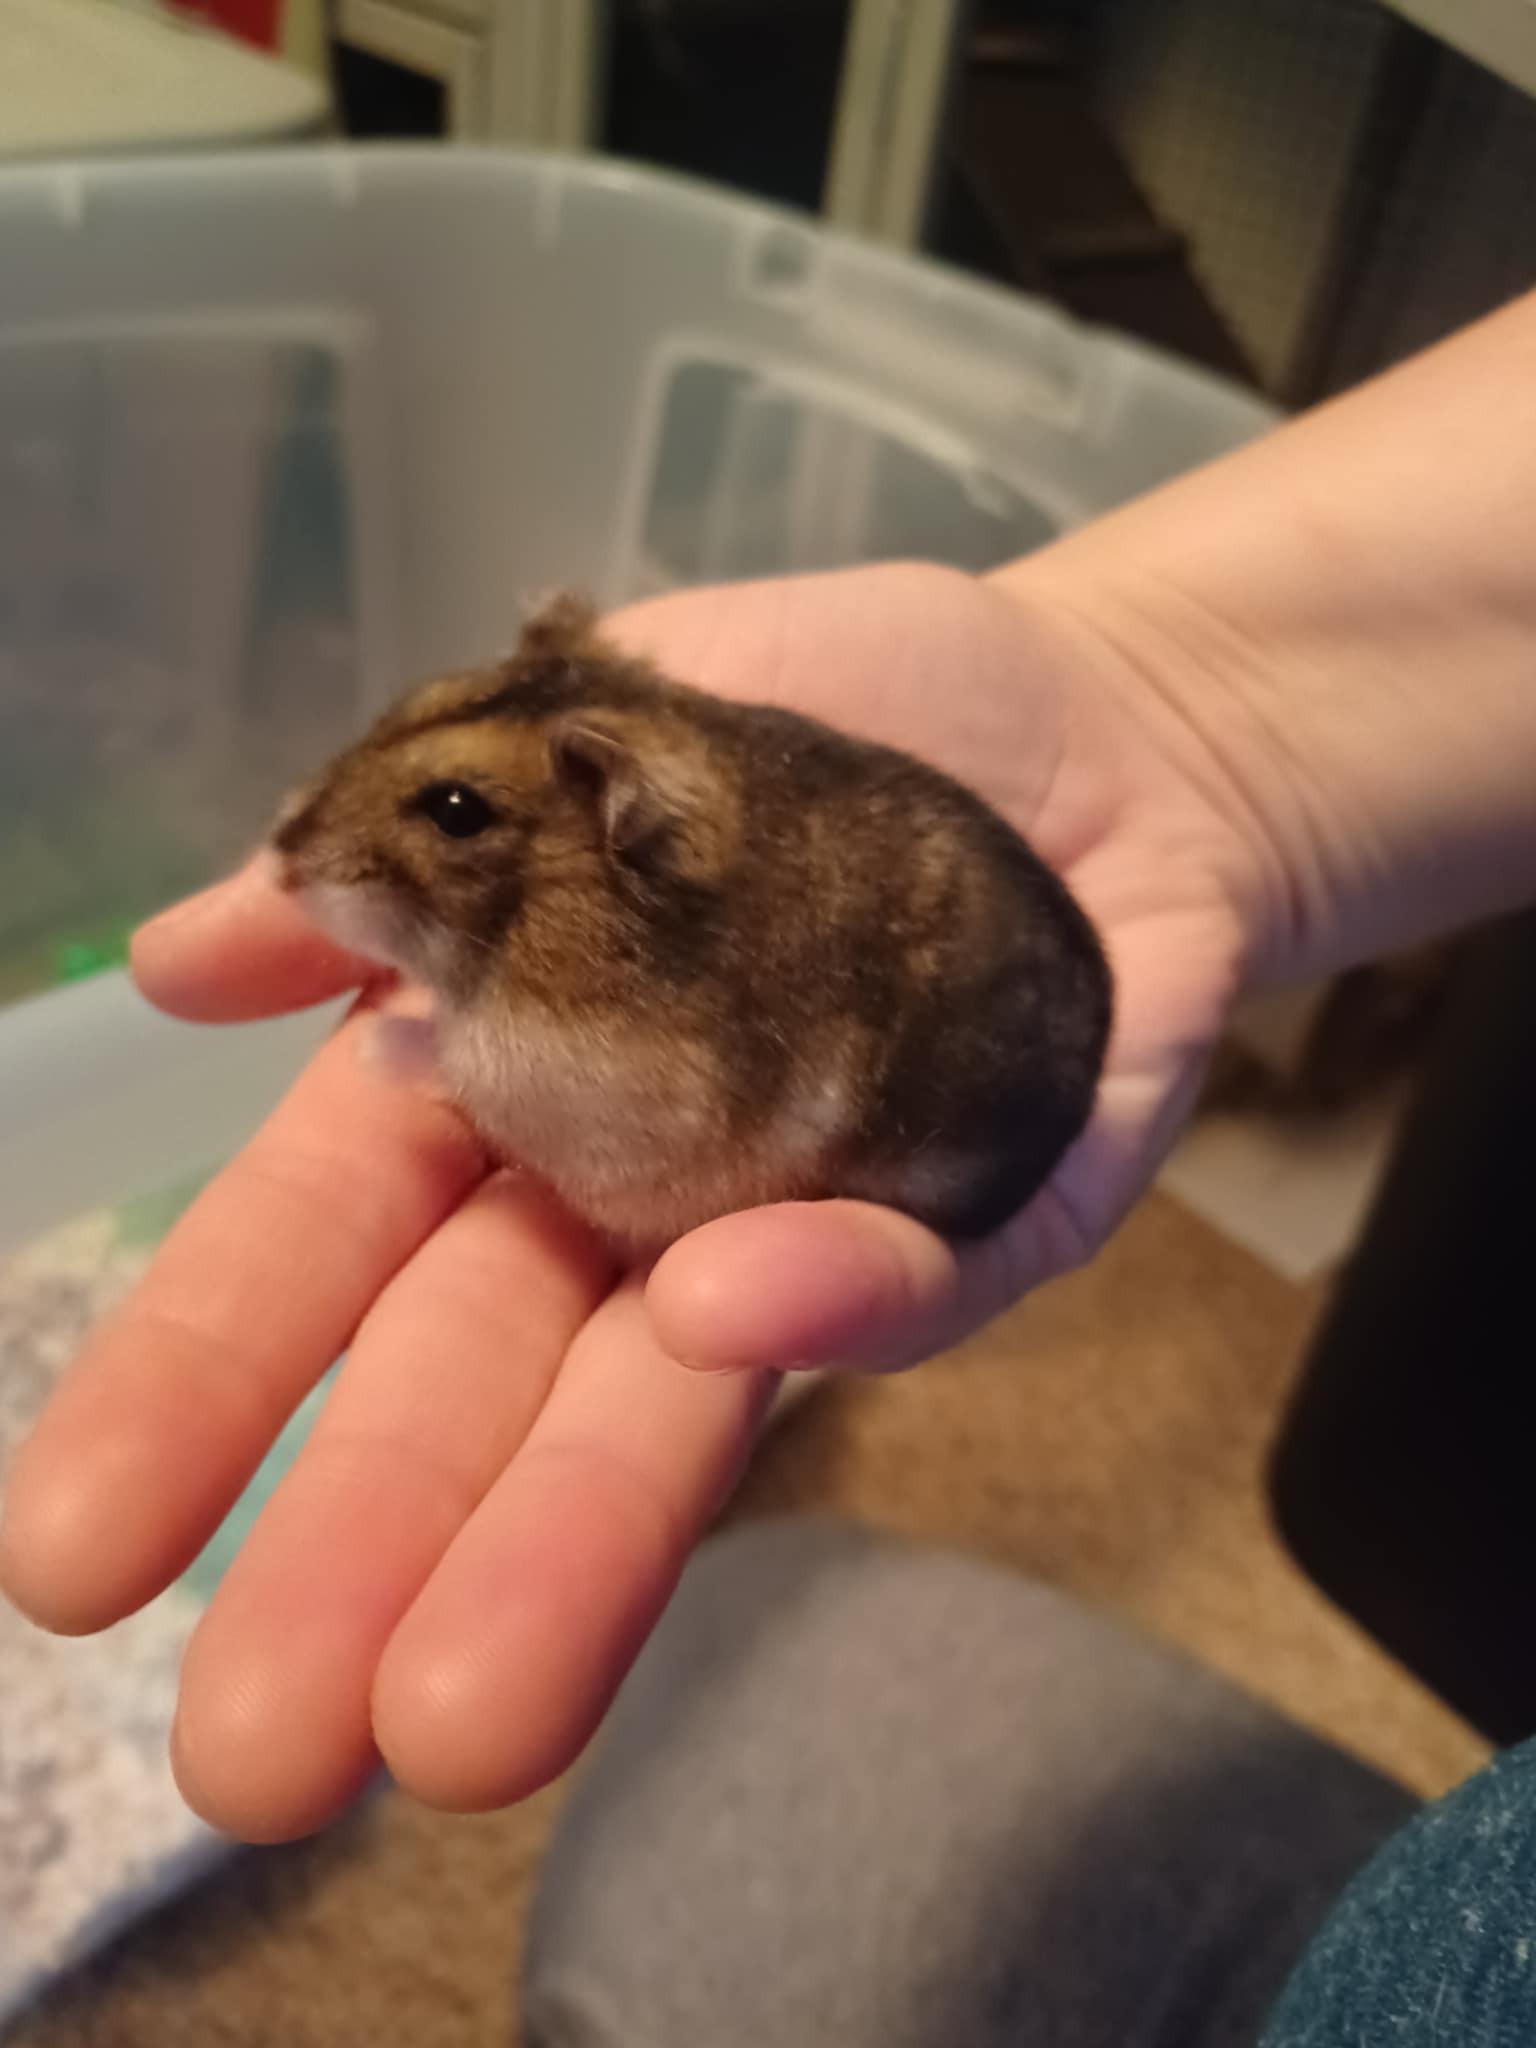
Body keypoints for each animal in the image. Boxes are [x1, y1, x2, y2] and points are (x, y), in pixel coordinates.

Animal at [270, 593, 1112, 1253]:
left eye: (455, 811)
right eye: (407, 705)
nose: (279, 856)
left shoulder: (545, 1083)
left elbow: (450, 1060)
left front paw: (373, 1048)